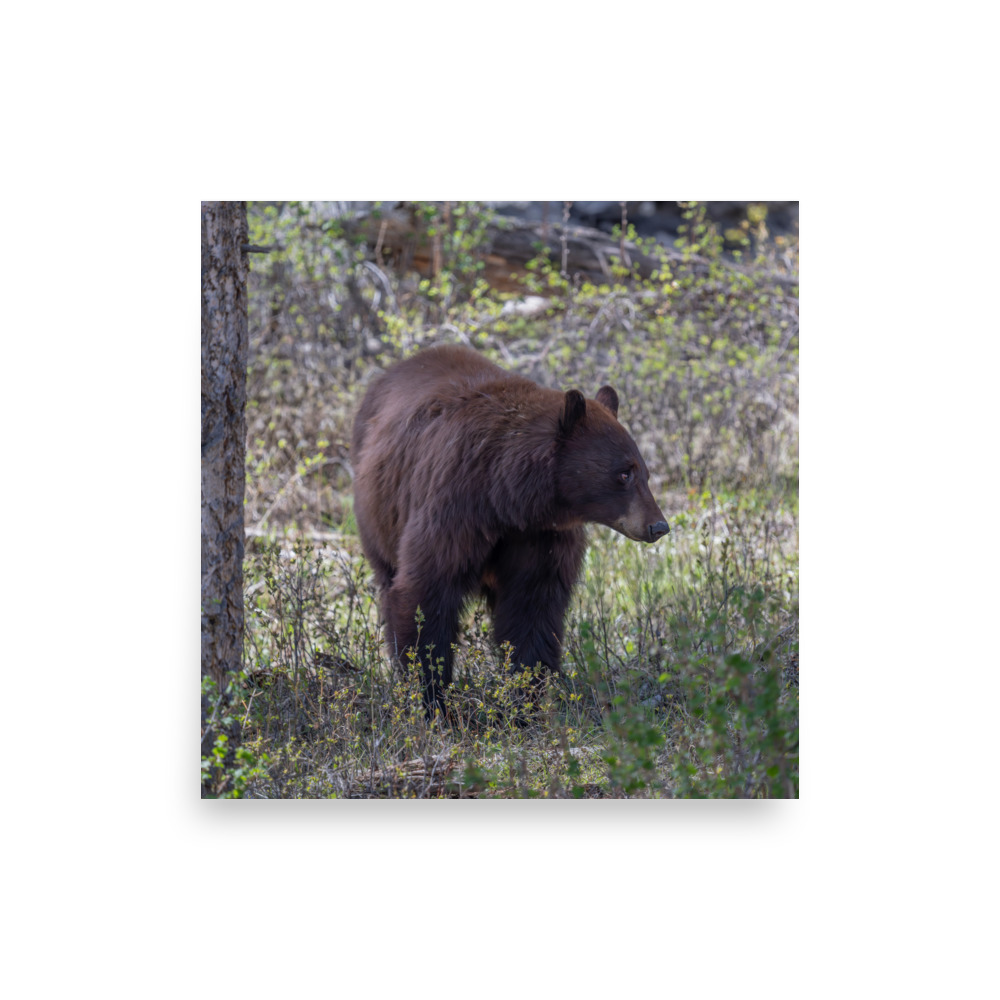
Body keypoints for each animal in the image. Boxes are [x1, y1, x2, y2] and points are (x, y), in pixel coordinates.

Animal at [351, 344, 669, 715]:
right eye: (623, 473)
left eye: (645, 473)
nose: (658, 525)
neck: (507, 498)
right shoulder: (453, 508)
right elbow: (426, 593)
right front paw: (433, 700)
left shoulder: (541, 537)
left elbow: (532, 608)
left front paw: (524, 700)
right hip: (378, 516)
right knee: (389, 582)